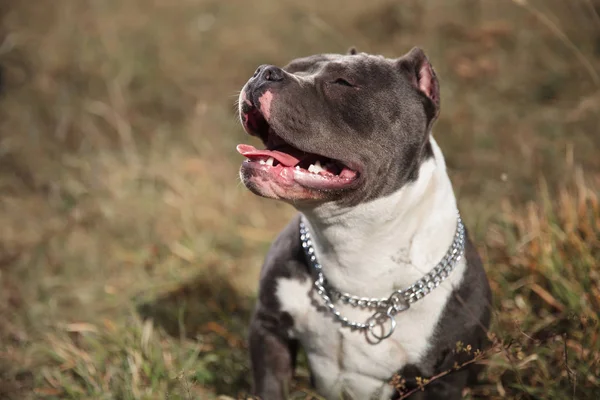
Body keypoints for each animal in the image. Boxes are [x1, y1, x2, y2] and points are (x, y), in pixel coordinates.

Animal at [234, 47, 492, 400]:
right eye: (293, 66)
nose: (264, 72)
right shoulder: (269, 329)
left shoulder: (444, 378)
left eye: (343, 82)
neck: (353, 245)